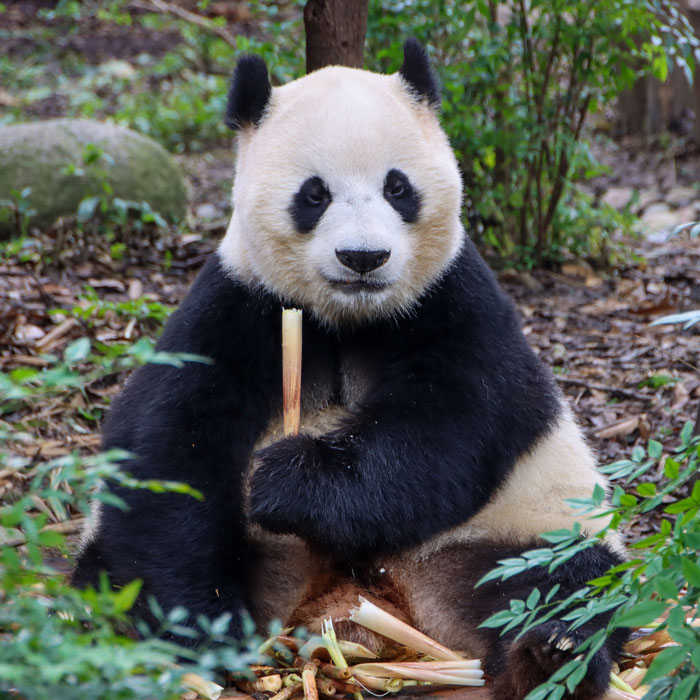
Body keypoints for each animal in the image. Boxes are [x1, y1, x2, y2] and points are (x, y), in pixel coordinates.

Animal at [72, 39, 628, 700]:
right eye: (314, 194)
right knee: (105, 577)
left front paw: (292, 481)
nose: (364, 257)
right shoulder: (237, 305)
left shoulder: (452, 300)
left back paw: (550, 655)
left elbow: (451, 428)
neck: (348, 317)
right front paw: (203, 625)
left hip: (510, 532)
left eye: (397, 187)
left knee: (569, 583)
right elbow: (169, 446)